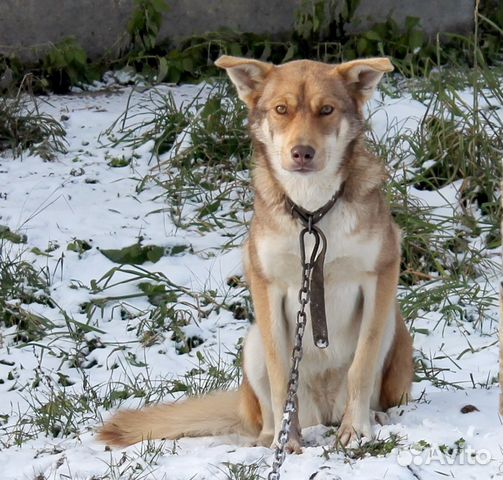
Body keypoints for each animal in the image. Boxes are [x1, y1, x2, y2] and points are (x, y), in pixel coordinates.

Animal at [97, 56, 414, 450]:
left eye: (326, 110)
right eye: (281, 109)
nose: (302, 152)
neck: (312, 211)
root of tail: (324, 411)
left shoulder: (380, 274)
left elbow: (362, 365)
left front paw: (356, 429)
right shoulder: (269, 287)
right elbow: (281, 376)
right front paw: (285, 441)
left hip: (392, 326)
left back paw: (375, 416)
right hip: (252, 345)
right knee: (270, 407)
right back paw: (271, 435)